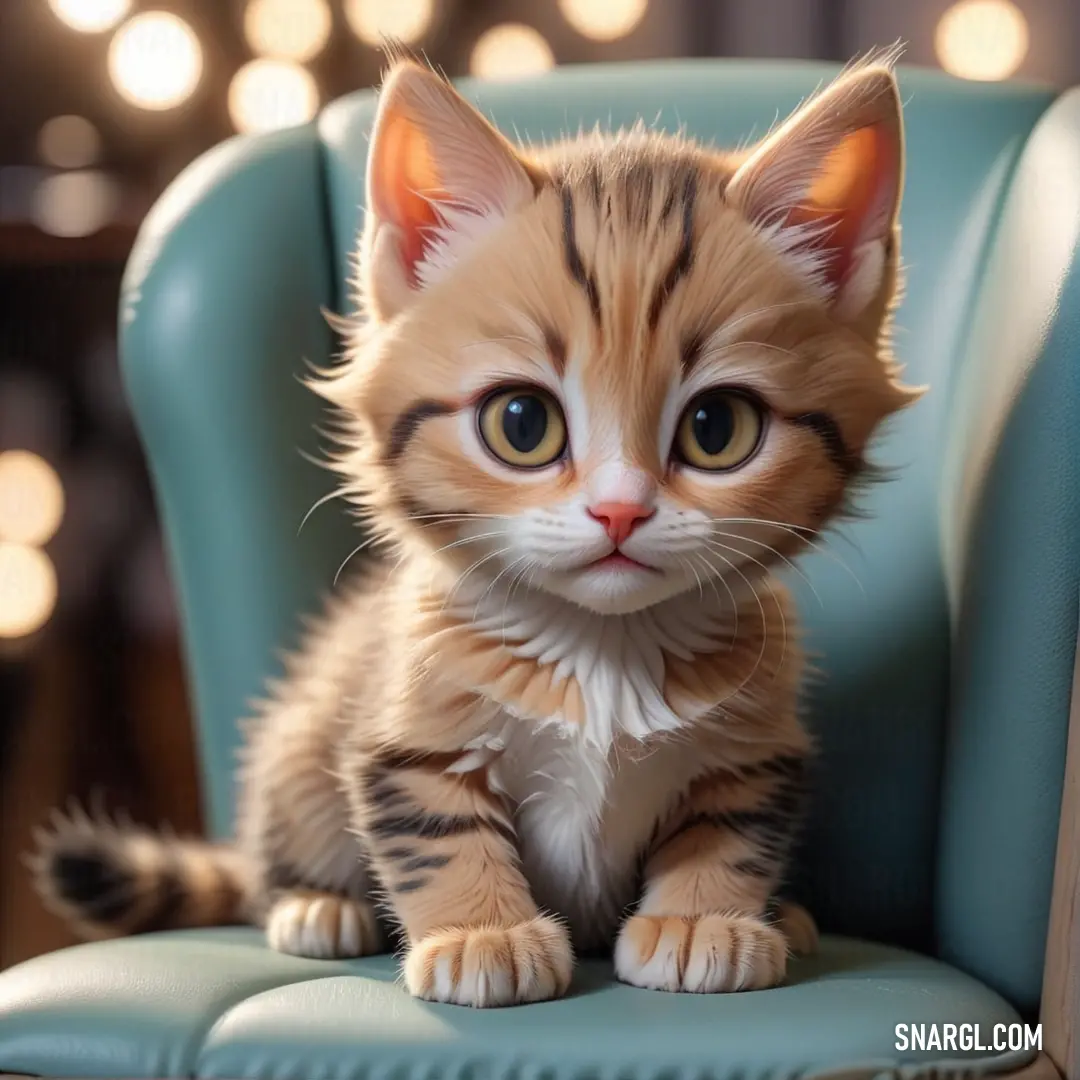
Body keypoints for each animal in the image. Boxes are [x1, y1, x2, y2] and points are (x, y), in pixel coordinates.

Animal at [29, 56, 920, 1002]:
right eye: (522, 423)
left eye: (717, 429)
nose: (620, 509)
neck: (603, 651)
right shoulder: (406, 733)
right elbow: (438, 831)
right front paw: (481, 934)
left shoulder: (755, 753)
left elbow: (732, 827)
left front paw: (702, 917)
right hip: (300, 743)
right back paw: (315, 905)